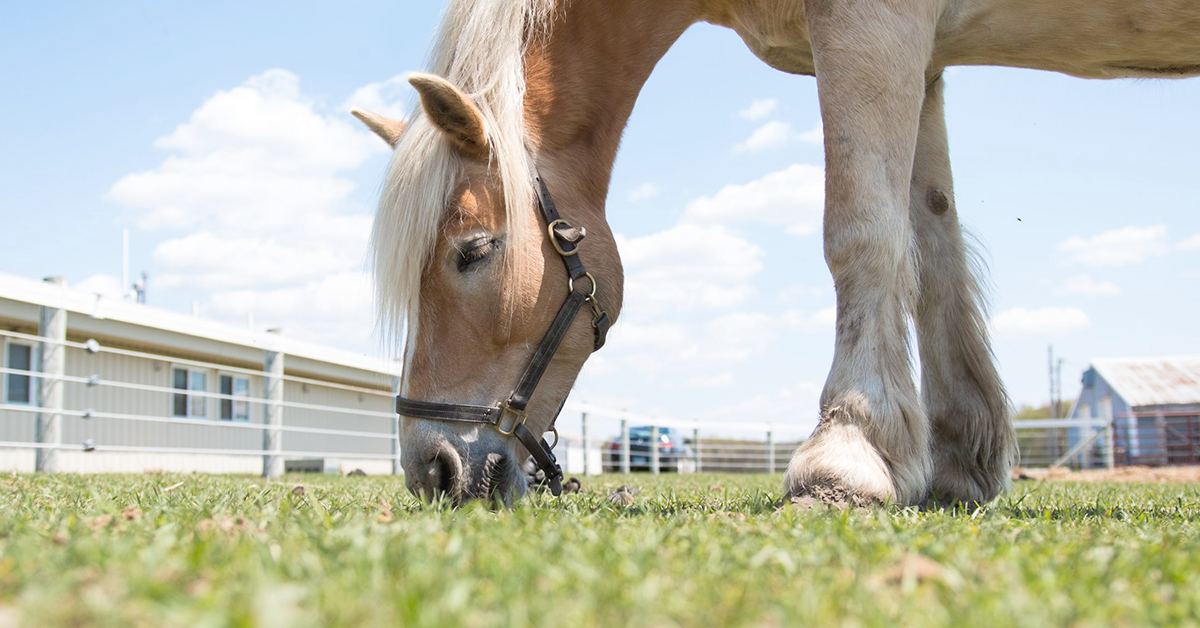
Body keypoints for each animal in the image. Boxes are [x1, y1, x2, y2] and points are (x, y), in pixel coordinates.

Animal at [352, 0, 1200, 506]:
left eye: (474, 251)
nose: (431, 470)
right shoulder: (923, 59)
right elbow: (929, 250)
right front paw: (957, 459)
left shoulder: (872, 25)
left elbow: (861, 232)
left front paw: (849, 453)